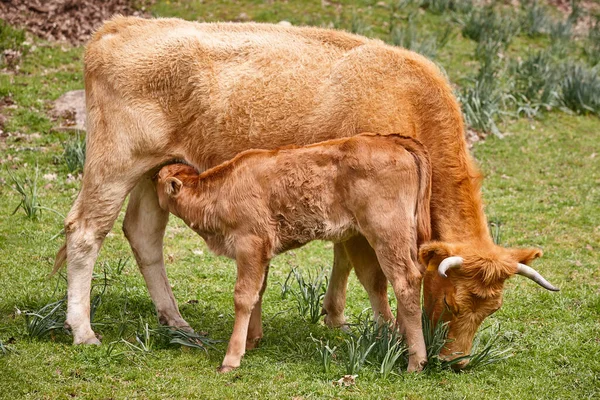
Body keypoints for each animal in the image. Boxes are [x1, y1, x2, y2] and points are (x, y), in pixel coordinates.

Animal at [155, 134, 432, 372]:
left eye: (158, 178)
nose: (152, 175)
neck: (221, 192)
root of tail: (391, 141)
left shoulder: (249, 245)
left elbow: (243, 296)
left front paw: (231, 358)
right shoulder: (262, 253)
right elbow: (258, 292)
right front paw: (252, 340)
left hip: (387, 236)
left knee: (405, 282)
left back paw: (415, 362)